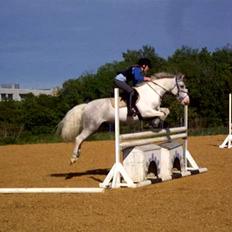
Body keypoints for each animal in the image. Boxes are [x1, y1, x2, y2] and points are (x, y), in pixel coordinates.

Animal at [57, 71, 189, 164]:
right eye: (182, 86)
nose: (187, 101)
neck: (153, 91)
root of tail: (86, 105)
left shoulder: (155, 109)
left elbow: (165, 111)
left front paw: (155, 123)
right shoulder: (146, 112)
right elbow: (161, 115)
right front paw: (155, 123)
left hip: (92, 128)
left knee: (81, 140)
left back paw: (77, 155)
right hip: (91, 126)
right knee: (78, 138)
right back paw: (73, 158)